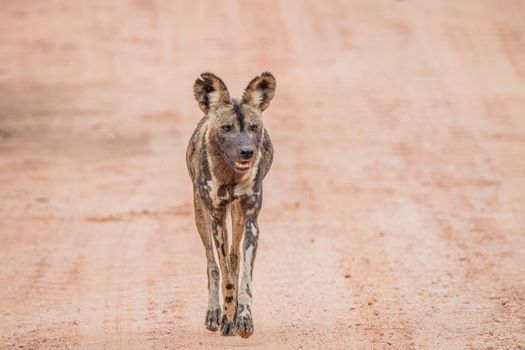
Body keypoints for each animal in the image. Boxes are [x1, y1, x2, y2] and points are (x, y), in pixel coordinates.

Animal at [185, 72, 274, 336]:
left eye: (254, 128)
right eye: (226, 128)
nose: (247, 151)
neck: (230, 175)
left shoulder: (252, 221)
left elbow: (243, 276)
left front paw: (243, 318)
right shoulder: (216, 218)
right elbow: (225, 275)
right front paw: (226, 318)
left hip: (238, 217)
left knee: (234, 260)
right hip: (202, 217)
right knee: (213, 266)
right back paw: (215, 313)